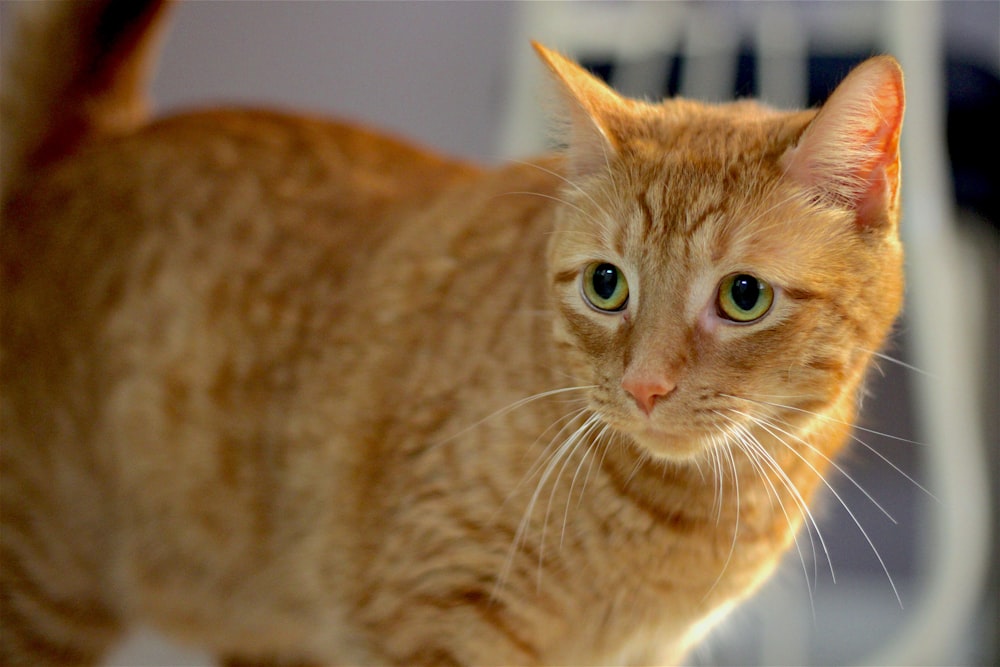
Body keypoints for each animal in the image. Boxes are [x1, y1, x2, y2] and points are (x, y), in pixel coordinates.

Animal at [0, 1, 908, 667]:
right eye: (606, 285)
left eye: (743, 297)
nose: (645, 386)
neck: (686, 514)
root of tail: (94, 140)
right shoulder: (430, 616)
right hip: (44, 589)